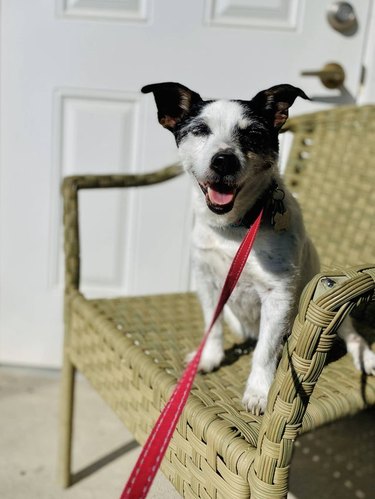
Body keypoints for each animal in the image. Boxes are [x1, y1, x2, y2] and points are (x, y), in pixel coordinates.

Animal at [142, 82, 375, 416]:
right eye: (200, 129)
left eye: (252, 133)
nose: (224, 161)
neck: (235, 228)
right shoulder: (206, 281)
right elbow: (212, 326)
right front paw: (209, 357)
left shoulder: (278, 296)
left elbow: (265, 352)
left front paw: (259, 393)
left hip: (334, 313)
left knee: (353, 334)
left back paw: (366, 356)